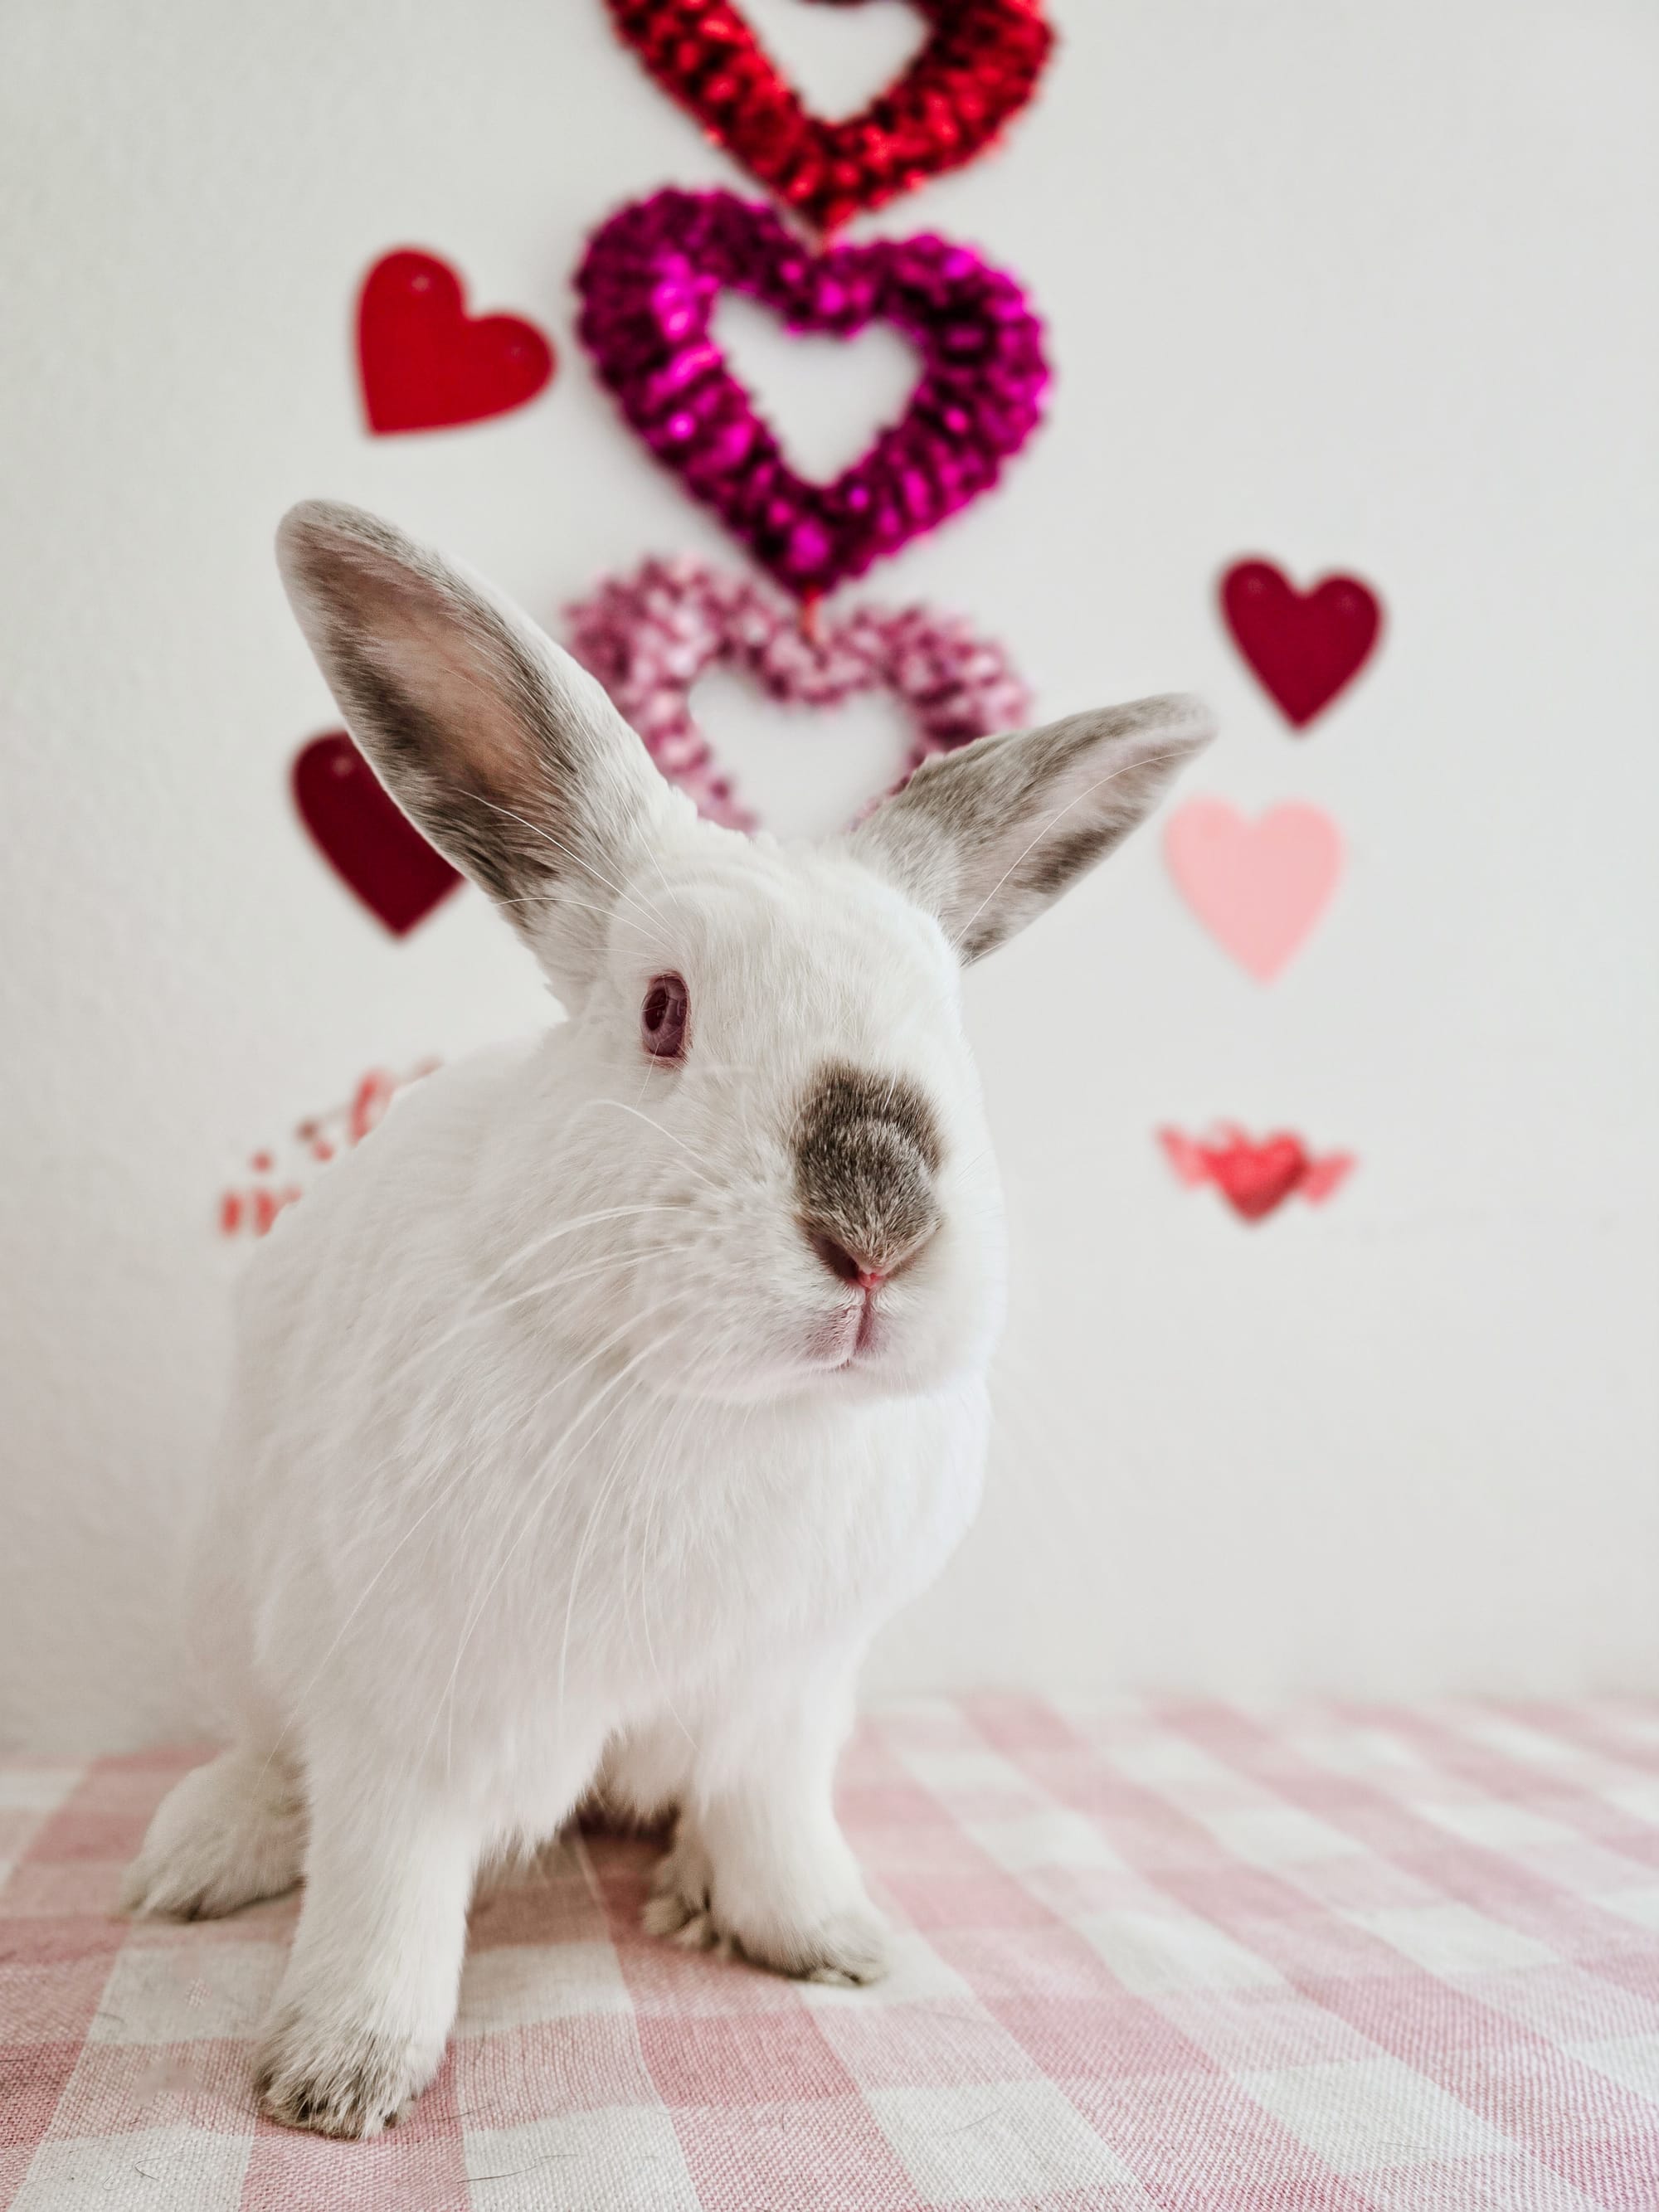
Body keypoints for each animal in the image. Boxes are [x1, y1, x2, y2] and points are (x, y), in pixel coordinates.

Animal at [121, 500, 1214, 2137]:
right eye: (662, 1012)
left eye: (947, 1030)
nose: (879, 1228)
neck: (724, 1405)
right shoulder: (406, 1710)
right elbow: (387, 1888)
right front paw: (337, 2074)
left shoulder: (782, 1700)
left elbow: (775, 1825)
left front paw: (822, 1939)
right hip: (231, 1609)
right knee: (268, 1758)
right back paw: (200, 1854)